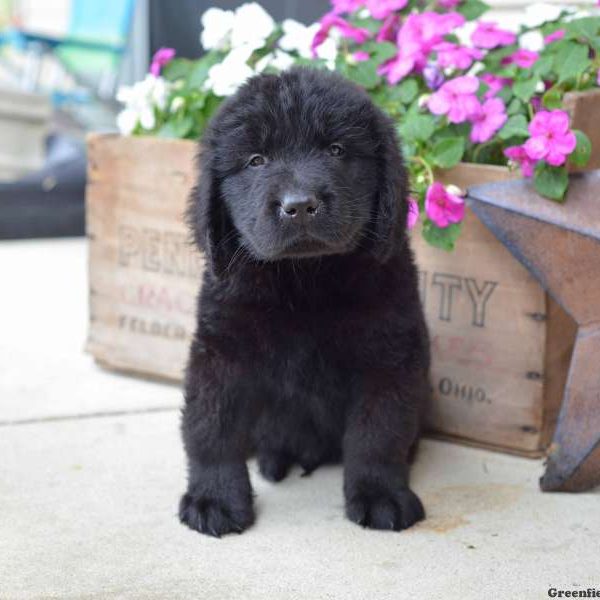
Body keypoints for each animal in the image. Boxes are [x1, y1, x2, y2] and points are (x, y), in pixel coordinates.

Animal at [180, 68, 428, 536]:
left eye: (336, 150)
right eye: (256, 160)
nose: (298, 205)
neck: (303, 280)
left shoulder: (390, 354)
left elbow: (380, 431)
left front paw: (380, 494)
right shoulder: (220, 351)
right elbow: (211, 427)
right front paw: (214, 498)